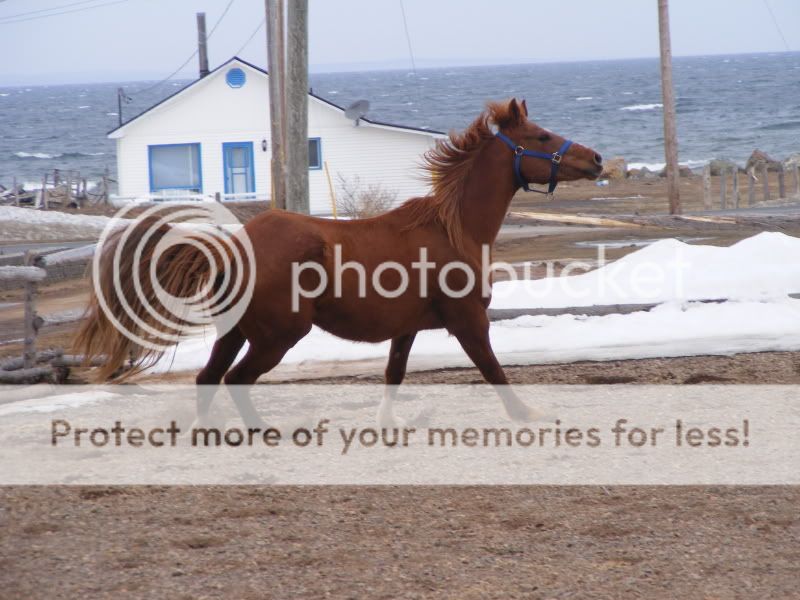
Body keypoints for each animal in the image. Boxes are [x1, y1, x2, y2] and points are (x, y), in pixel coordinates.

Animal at [75, 98, 600, 424]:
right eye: (541, 135)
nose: (596, 158)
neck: (453, 229)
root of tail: (235, 243)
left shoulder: (407, 327)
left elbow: (394, 374)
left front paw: (389, 422)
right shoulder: (468, 319)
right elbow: (493, 370)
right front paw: (527, 414)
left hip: (236, 331)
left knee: (209, 378)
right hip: (278, 335)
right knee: (237, 379)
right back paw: (262, 432)